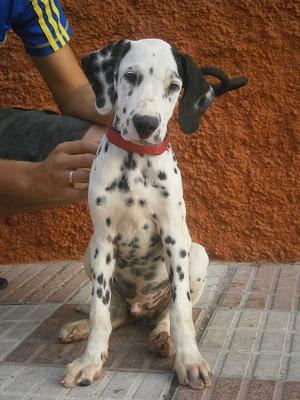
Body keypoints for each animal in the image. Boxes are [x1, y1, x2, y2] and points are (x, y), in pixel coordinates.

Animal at [60, 38, 218, 390]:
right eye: (130, 76)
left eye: (174, 86)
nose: (146, 125)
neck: (137, 162)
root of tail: (141, 308)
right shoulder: (103, 242)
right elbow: (100, 312)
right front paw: (89, 360)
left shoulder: (174, 238)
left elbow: (181, 311)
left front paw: (190, 361)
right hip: (89, 252)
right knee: (114, 312)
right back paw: (79, 327)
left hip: (197, 254)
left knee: (168, 313)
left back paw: (163, 339)